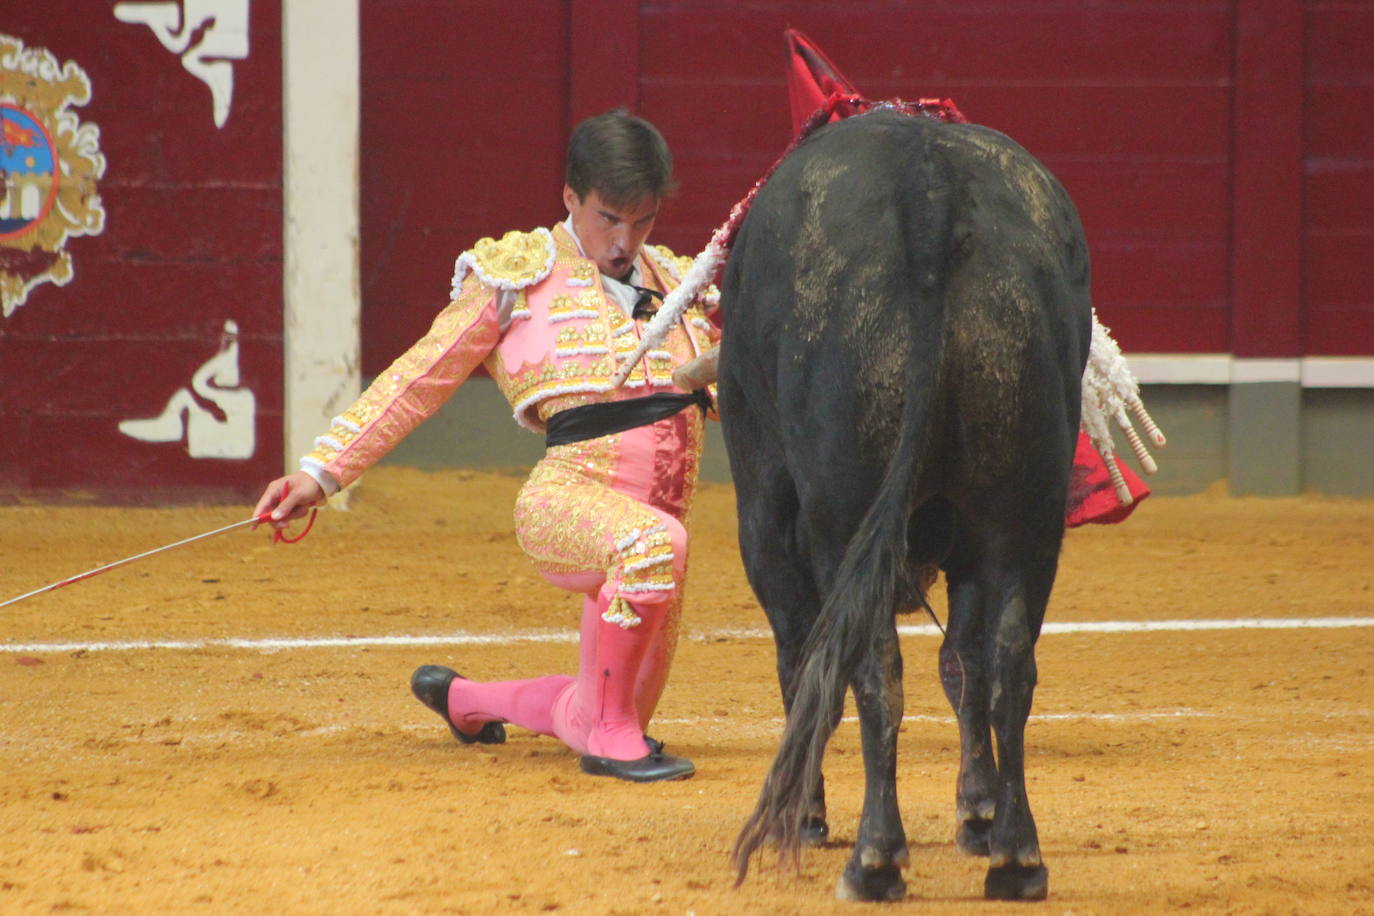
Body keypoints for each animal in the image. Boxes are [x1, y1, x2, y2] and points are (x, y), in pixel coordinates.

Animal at [725, 109, 1088, 900]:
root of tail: (930, 190)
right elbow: (965, 663)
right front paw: (977, 811)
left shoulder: (767, 518)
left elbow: (803, 661)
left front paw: (809, 814)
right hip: (1024, 513)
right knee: (1007, 664)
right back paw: (1017, 856)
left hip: (838, 514)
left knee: (870, 667)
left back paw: (875, 857)